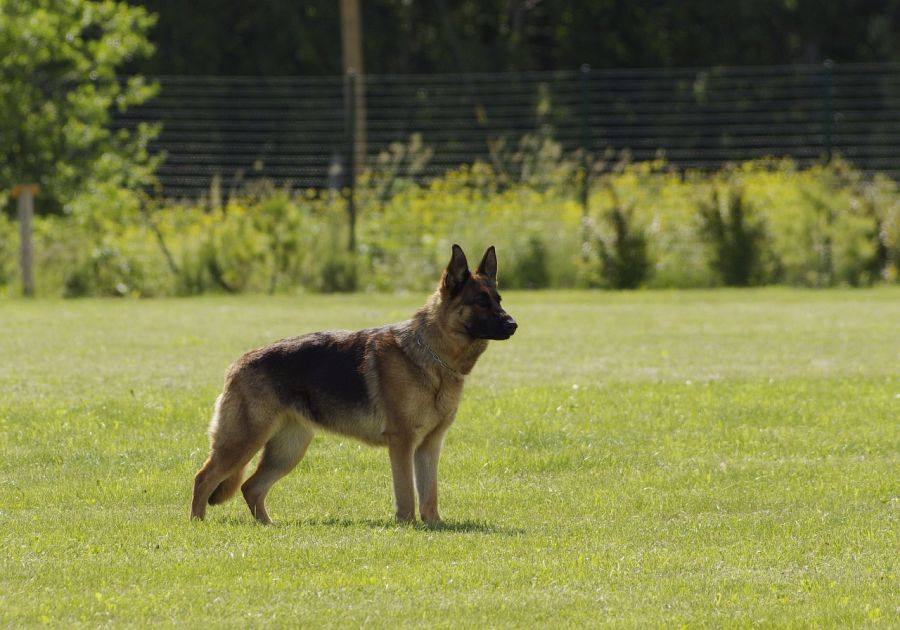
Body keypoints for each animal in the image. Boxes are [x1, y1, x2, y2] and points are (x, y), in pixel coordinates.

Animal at [192, 244, 512, 524]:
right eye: (480, 301)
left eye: (498, 299)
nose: (513, 325)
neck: (431, 355)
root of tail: (237, 363)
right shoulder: (402, 442)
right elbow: (407, 493)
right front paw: (407, 524)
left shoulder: (430, 446)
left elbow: (429, 494)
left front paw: (433, 524)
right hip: (242, 442)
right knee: (203, 478)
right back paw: (198, 524)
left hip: (287, 450)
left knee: (250, 487)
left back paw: (268, 525)